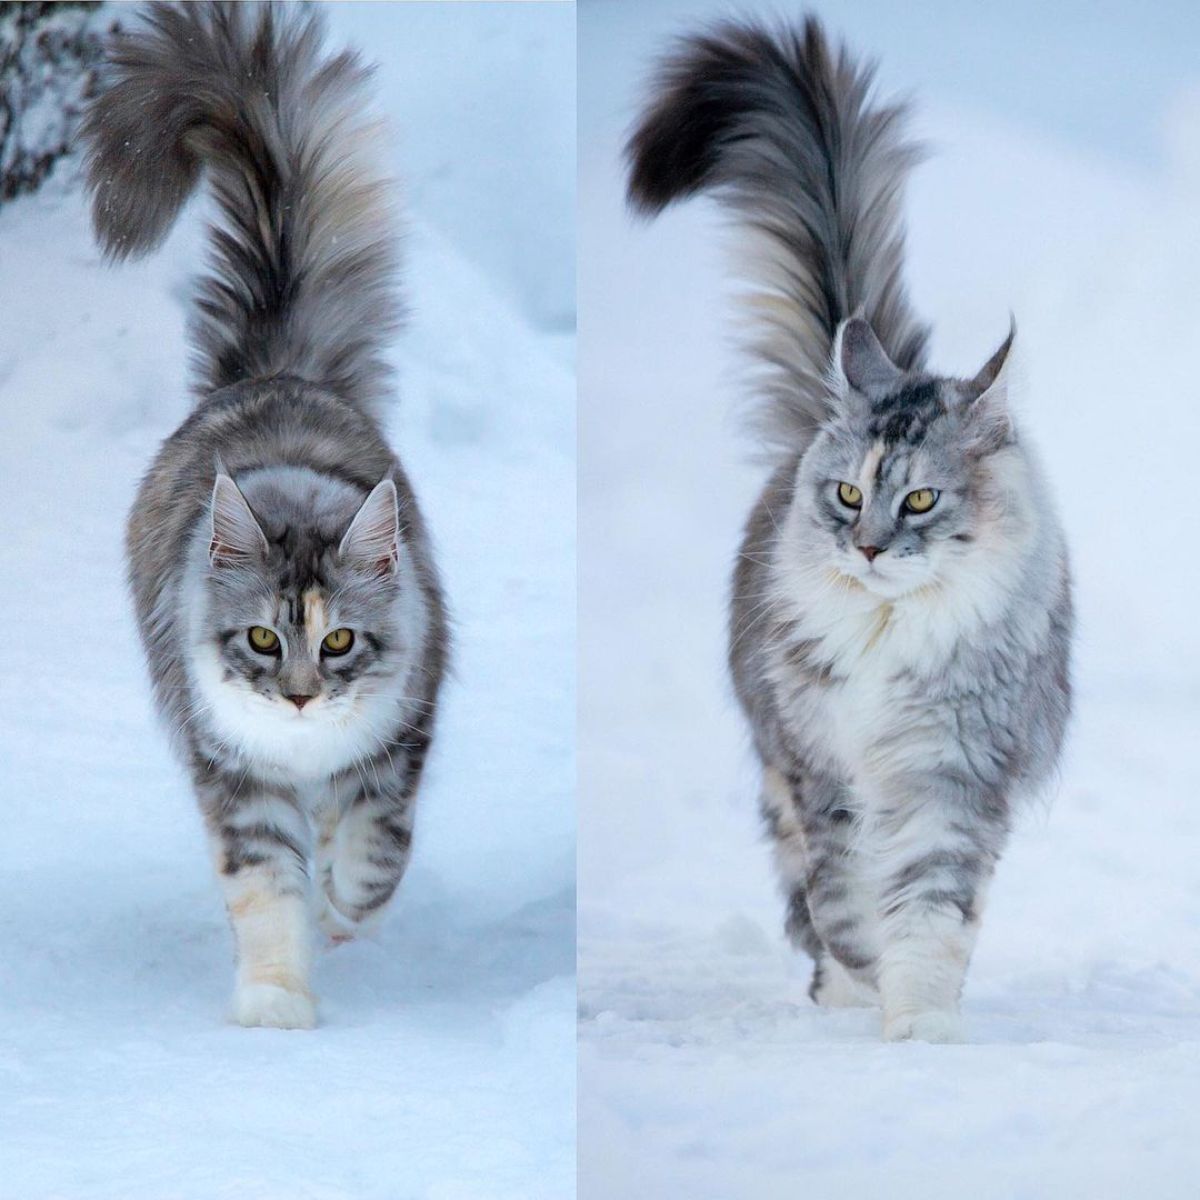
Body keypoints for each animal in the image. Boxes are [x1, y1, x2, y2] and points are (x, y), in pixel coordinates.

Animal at [83, 2, 451, 1032]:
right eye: (259, 638)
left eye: (338, 642)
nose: (296, 695)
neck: (305, 750)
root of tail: (275, 372)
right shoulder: (236, 780)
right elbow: (266, 892)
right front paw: (279, 1005)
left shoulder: (402, 739)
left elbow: (375, 849)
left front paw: (347, 907)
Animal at [624, 16, 1075, 1041]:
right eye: (844, 494)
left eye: (919, 502)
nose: (867, 547)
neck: (886, 636)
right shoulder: (820, 768)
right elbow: (848, 898)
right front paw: (861, 992)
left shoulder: (951, 776)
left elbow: (930, 907)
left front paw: (919, 1024)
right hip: (774, 761)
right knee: (802, 892)